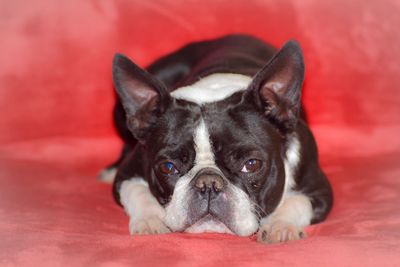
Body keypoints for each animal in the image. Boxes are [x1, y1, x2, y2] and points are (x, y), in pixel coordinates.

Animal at [101, 34, 334, 244]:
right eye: (167, 167)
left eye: (252, 164)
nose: (208, 183)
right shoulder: (127, 175)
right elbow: (138, 192)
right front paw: (152, 220)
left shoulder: (319, 190)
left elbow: (296, 202)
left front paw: (280, 225)